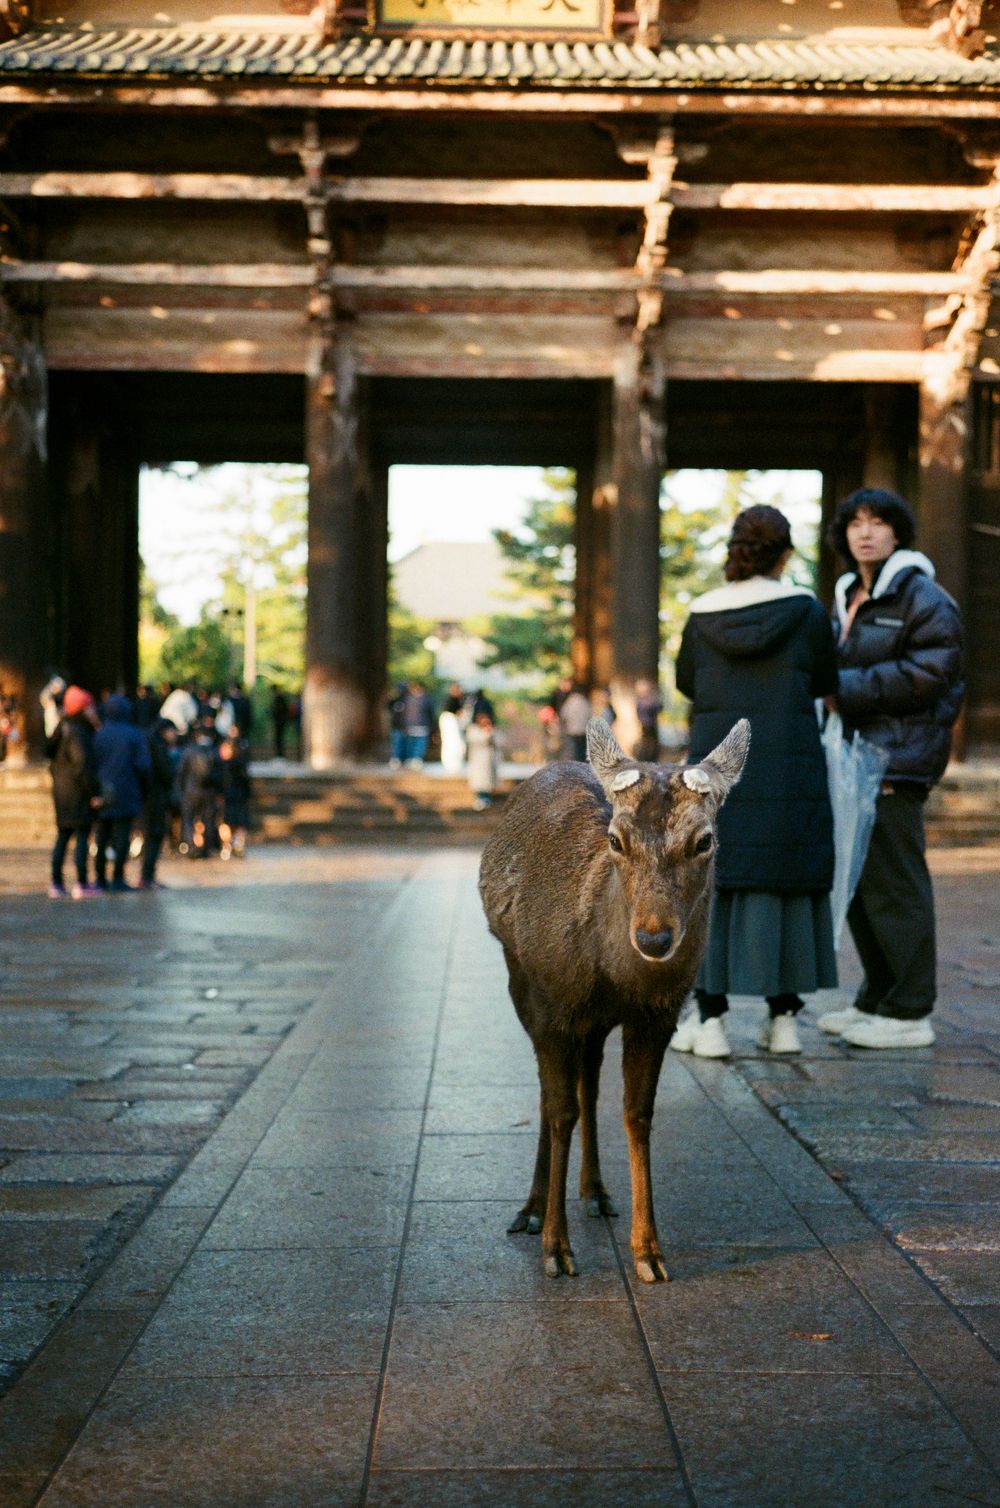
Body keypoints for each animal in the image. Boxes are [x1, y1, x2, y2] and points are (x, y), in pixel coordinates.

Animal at [478, 714, 750, 1283]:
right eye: (616, 840)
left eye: (704, 840)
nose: (654, 938)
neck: (613, 976)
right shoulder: (553, 1004)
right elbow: (560, 1110)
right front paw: (556, 1250)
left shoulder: (658, 1015)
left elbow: (636, 1114)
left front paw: (648, 1252)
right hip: (520, 980)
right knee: (552, 1094)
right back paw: (531, 1210)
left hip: (594, 1024)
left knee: (590, 1084)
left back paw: (596, 1192)